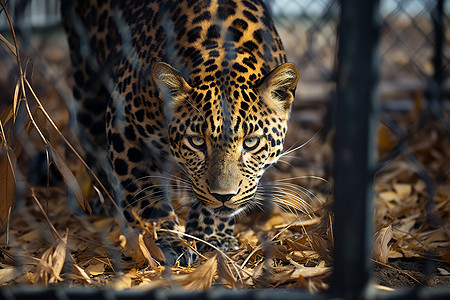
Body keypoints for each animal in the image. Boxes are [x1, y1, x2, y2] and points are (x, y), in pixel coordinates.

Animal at [59, 0, 298, 264]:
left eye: (251, 143)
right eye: (197, 141)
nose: (224, 196)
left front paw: (211, 235)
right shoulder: (123, 126)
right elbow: (146, 194)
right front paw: (167, 242)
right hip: (88, 88)